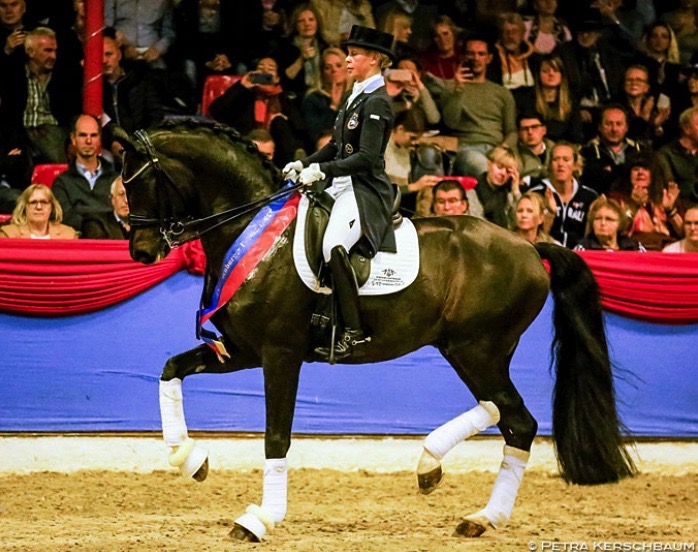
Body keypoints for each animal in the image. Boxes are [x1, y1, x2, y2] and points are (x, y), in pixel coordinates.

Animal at [114, 119, 636, 542]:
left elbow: (276, 437)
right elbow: (171, 369)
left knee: (517, 419)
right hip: (468, 349)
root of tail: (530, 248)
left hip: (477, 349)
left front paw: (260, 519)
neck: (256, 232)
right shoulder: (241, 349)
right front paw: (190, 460)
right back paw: (447, 482)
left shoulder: (279, 354)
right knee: (501, 412)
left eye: (139, 182)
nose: (140, 251)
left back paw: (472, 505)